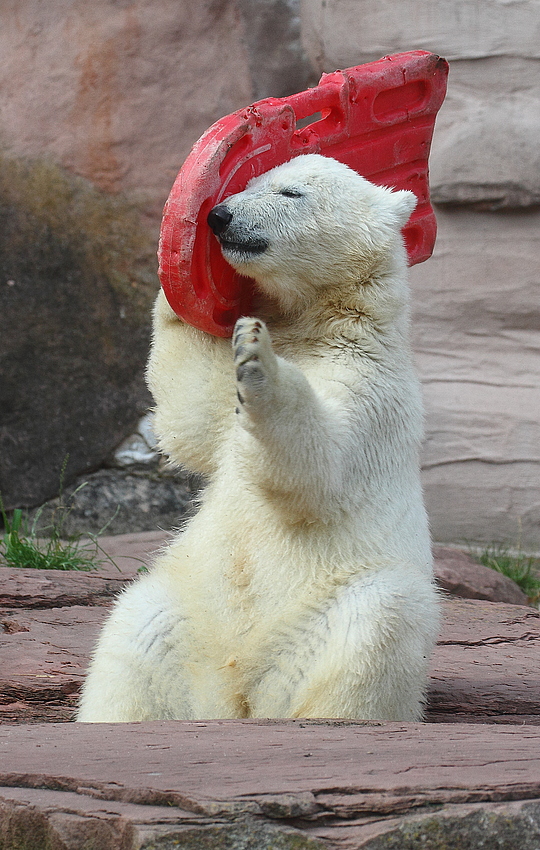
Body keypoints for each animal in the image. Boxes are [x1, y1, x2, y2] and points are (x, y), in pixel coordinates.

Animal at [77, 154, 438, 724]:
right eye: (250, 182)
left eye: (290, 193)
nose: (219, 215)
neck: (323, 321)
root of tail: (238, 692)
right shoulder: (226, 408)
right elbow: (193, 418)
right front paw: (171, 278)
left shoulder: (370, 387)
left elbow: (318, 466)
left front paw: (259, 358)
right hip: (185, 608)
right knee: (135, 639)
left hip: (323, 610)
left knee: (376, 621)